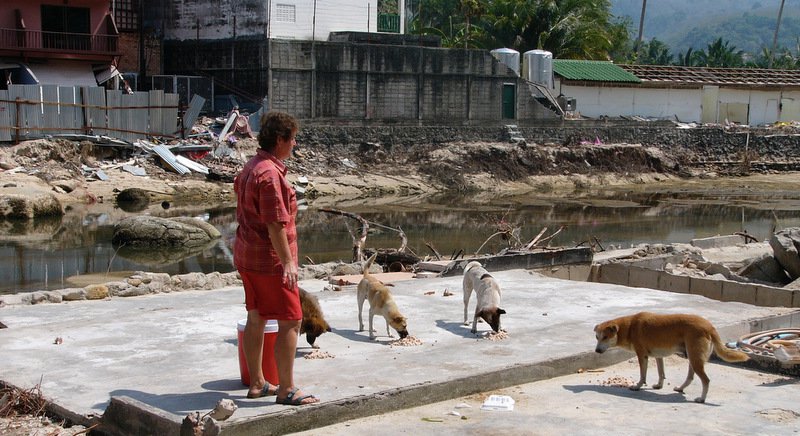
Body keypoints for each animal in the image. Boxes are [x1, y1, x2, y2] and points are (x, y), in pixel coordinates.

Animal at [592, 312, 752, 404]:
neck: (630, 326)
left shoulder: (642, 355)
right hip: (692, 358)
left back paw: (702, 399)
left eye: (605, 337)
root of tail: (710, 326)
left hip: (695, 359)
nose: (597, 350)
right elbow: (661, 373)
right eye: (597, 337)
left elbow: (643, 375)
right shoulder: (658, 356)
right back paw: (680, 388)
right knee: (690, 377)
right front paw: (659, 385)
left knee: (706, 380)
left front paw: (637, 386)